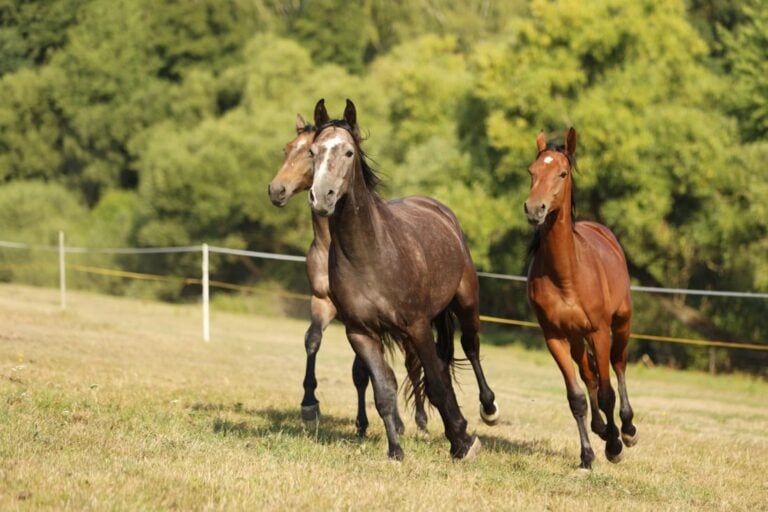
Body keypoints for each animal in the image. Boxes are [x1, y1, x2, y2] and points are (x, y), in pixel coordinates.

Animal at [267, 114, 427, 436]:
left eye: (307, 153)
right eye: (287, 148)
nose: (277, 190)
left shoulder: (361, 318)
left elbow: (361, 373)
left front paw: (371, 423)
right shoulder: (325, 304)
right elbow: (313, 340)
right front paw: (310, 404)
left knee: (412, 364)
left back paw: (419, 419)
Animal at [308, 98, 498, 460]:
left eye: (349, 152)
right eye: (312, 151)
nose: (322, 196)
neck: (371, 255)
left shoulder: (417, 325)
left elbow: (436, 383)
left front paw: (462, 443)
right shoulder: (361, 333)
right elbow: (384, 390)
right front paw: (395, 450)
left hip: (466, 303)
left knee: (471, 348)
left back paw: (488, 410)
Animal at [524, 127, 638, 469]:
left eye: (562, 173)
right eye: (532, 172)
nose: (534, 209)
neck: (566, 276)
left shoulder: (599, 332)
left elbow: (607, 392)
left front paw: (614, 446)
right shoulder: (555, 337)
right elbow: (576, 397)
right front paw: (587, 454)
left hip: (621, 324)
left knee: (618, 364)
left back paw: (627, 429)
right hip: (575, 339)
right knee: (589, 374)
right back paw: (602, 428)